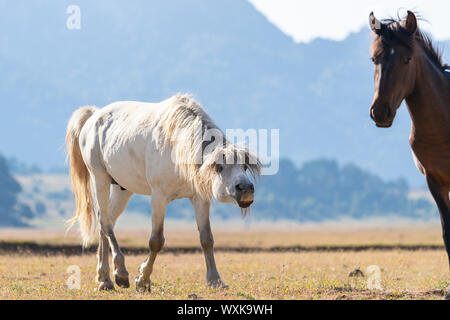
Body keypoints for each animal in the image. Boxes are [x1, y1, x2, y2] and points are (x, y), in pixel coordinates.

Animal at [63, 94, 260, 292]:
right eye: (219, 167)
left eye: (244, 166)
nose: (246, 189)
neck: (178, 146)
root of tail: (94, 115)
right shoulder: (159, 197)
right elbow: (156, 240)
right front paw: (142, 280)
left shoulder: (200, 199)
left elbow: (206, 239)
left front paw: (215, 280)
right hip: (100, 178)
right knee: (105, 221)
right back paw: (120, 273)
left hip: (122, 189)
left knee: (106, 222)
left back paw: (105, 278)